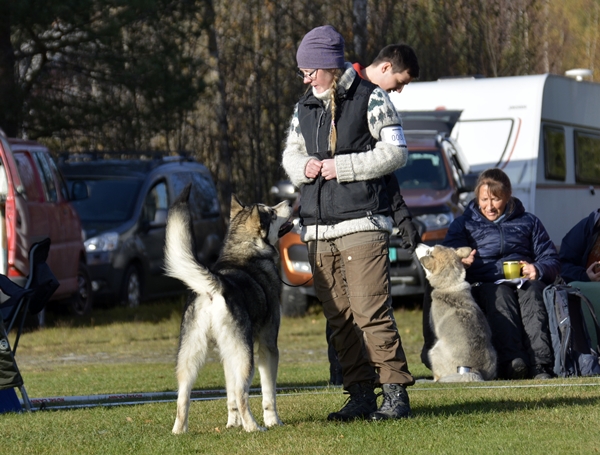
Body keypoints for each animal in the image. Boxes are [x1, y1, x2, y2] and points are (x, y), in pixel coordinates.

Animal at [166, 185, 292, 434]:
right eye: (272, 213)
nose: (289, 202)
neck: (245, 249)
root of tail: (216, 285)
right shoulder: (268, 347)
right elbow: (268, 395)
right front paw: (273, 421)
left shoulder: (226, 355)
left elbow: (230, 395)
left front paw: (233, 424)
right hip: (246, 358)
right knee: (243, 395)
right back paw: (253, 427)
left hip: (190, 358)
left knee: (183, 397)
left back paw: (178, 431)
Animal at [418, 244, 496, 382]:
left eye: (428, 251)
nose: (417, 244)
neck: (450, 284)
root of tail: (473, 371)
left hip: (433, 351)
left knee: (437, 378)